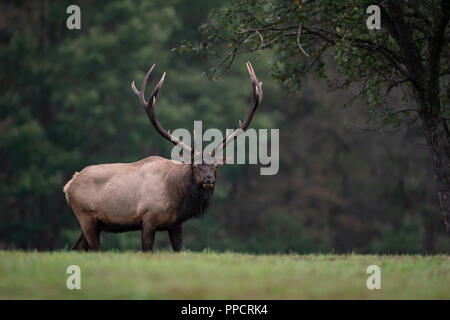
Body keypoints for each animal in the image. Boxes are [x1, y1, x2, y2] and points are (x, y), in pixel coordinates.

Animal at [61, 62, 262, 252]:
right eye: (194, 165)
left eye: (216, 166)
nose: (208, 179)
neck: (175, 196)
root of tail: (69, 185)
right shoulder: (147, 218)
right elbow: (147, 250)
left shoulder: (176, 224)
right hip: (85, 216)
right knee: (94, 249)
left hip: (95, 223)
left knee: (76, 248)